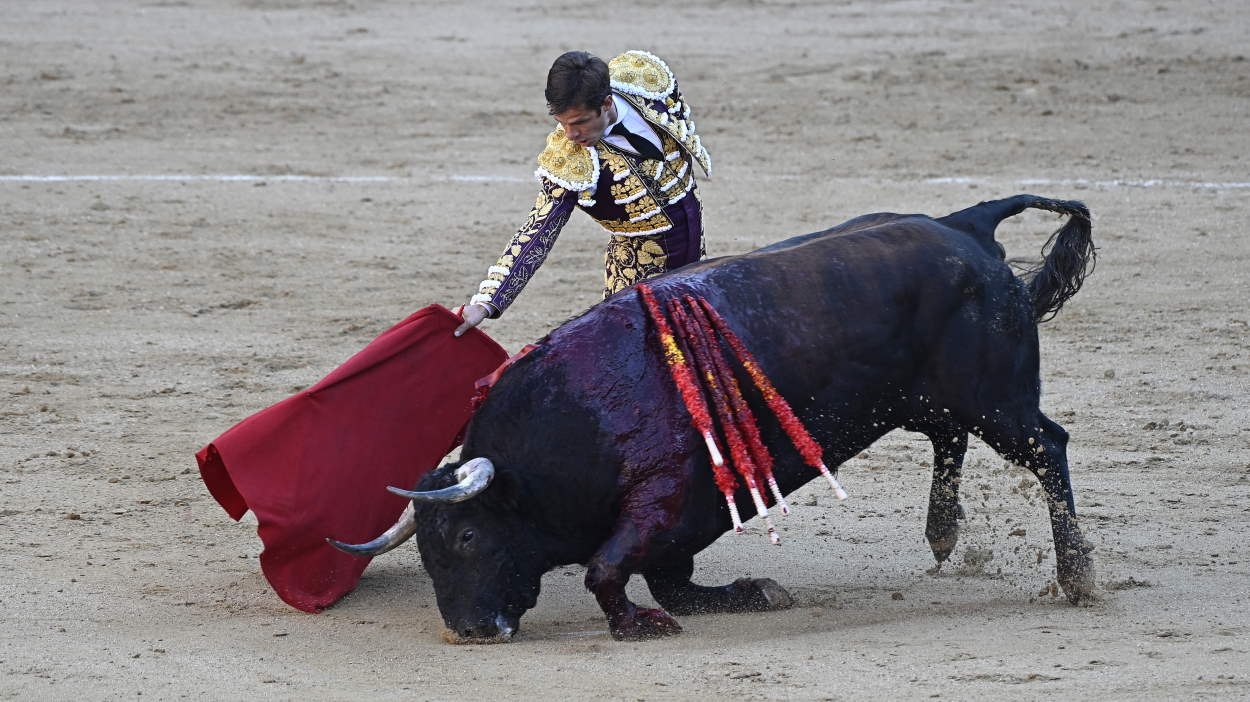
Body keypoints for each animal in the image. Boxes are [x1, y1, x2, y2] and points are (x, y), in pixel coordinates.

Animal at [330, 191, 1095, 639]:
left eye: (465, 537)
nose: (468, 628)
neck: (570, 419)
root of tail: (964, 225)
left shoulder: (663, 496)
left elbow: (606, 570)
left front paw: (642, 624)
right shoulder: (680, 522)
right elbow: (669, 580)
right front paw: (753, 592)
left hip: (997, 399)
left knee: (1047, 447)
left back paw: (1078, 579)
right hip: (934, 396)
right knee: (948, 436)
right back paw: (942, 536)